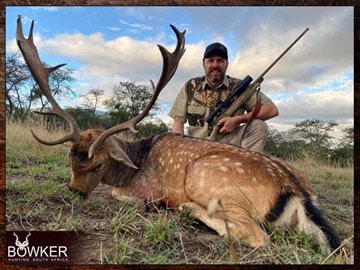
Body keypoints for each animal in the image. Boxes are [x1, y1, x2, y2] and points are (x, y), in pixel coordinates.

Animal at [14, 15, 340, 255]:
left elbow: (121, 194)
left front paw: (154, 203)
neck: (137, 160)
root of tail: (298, 193)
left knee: (257, 236)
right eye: (70, 161)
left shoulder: (144, 187)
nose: (74, 192)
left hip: (205, 177)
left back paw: (187, 208)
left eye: (97, 165)